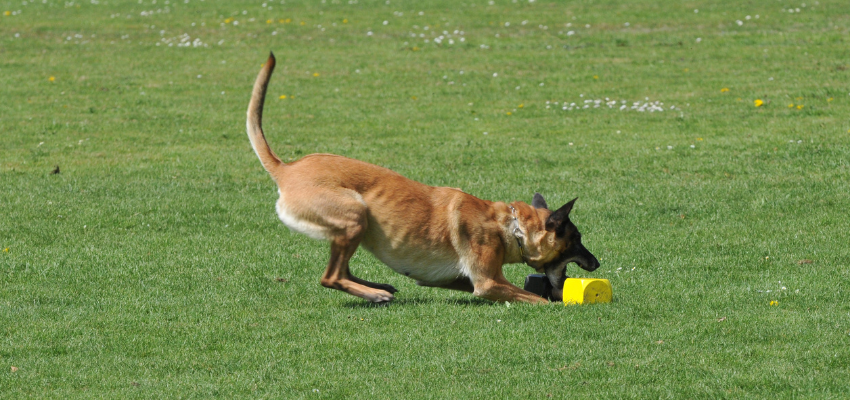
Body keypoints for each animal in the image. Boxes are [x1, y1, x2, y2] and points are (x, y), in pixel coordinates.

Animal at [248, 52, 600, 304]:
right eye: (577, 239)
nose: (596, 264)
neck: (510, 226)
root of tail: (286, 168)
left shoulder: (458, 279)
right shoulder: (487, 282)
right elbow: (537, 299)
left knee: (340, 270)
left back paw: (377, 287)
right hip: (354, 214)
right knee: (330, 276)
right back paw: (375, 294)